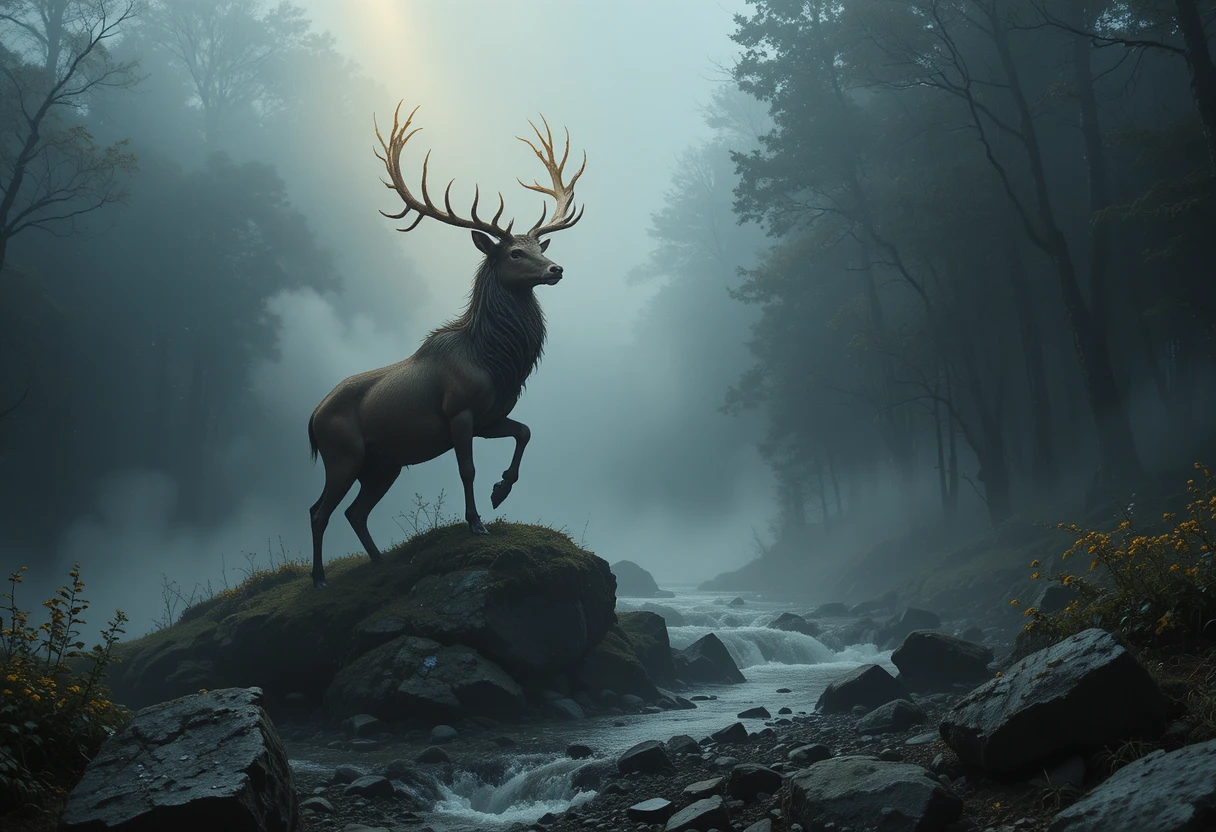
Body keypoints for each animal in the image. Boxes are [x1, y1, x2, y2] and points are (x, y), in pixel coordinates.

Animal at [306, 103, 586, 589]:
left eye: (538, 245)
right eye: (514, 253)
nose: (556, 268)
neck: (497, 362)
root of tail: (310, 418)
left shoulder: (491, 417)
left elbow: (525, 432)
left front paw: (500, 491)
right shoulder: (459, 411)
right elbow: (465, 468)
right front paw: (476, 521)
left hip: (383, 464)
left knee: (354, 512)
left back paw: (382, 563)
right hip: (342, 454)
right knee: (318, 510)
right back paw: (320, 579)